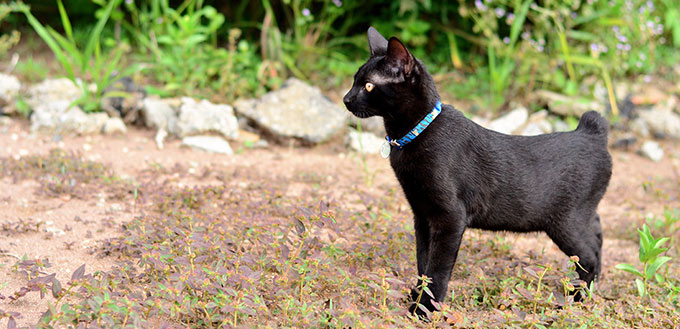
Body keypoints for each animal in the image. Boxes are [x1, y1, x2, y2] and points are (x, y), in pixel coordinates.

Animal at [342, 27, 612, 316]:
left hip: (566, 222)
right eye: (355, 80)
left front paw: (425, 310)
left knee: (588, 257)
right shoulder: (422, 215)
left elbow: (437, 268)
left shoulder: (450, 216)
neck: (416, 134)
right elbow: (423, 261)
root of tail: (591, 131)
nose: (346, 98)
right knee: (597, 234)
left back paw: (577, 299)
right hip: (582, 216)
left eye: (368, 85)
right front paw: (416, 297)